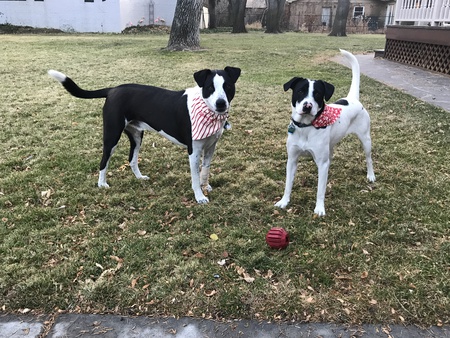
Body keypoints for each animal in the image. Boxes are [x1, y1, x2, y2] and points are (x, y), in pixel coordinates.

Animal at [47, 66, 241, 203]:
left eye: (228, 86)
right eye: (209, 87)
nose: (221, 103)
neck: (207, 111)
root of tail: (113, 89)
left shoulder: (210, 147)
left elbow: (205, 169)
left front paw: (205, 185)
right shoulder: (193, 150)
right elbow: (194, 176)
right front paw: (199, 196)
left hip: (136, 136)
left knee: (132, 159)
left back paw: (139, 177)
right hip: (112, 135)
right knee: (104, 160)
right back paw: (102, 184)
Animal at [276, 48, 374, 215]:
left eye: (317, 94)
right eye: (300, 91)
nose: (307, 106)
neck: (306, 127)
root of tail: (352, 98)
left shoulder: (321, 163)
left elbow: (320, 190)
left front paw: (320, 208)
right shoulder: (292, 159)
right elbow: (288, 184)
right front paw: (284, 201)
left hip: (365, 140)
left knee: (369, 158)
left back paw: (371, 175)